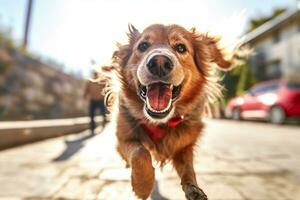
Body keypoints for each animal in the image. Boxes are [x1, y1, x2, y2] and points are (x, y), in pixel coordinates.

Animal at [106, 24, 233, 199]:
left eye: (181, 47)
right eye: (143, 46)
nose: (159, 62)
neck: (160, 122)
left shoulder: (184, 145)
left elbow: (188, 169)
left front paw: (194, 189)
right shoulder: (123, 139)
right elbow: (140, 152)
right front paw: (142, 186)